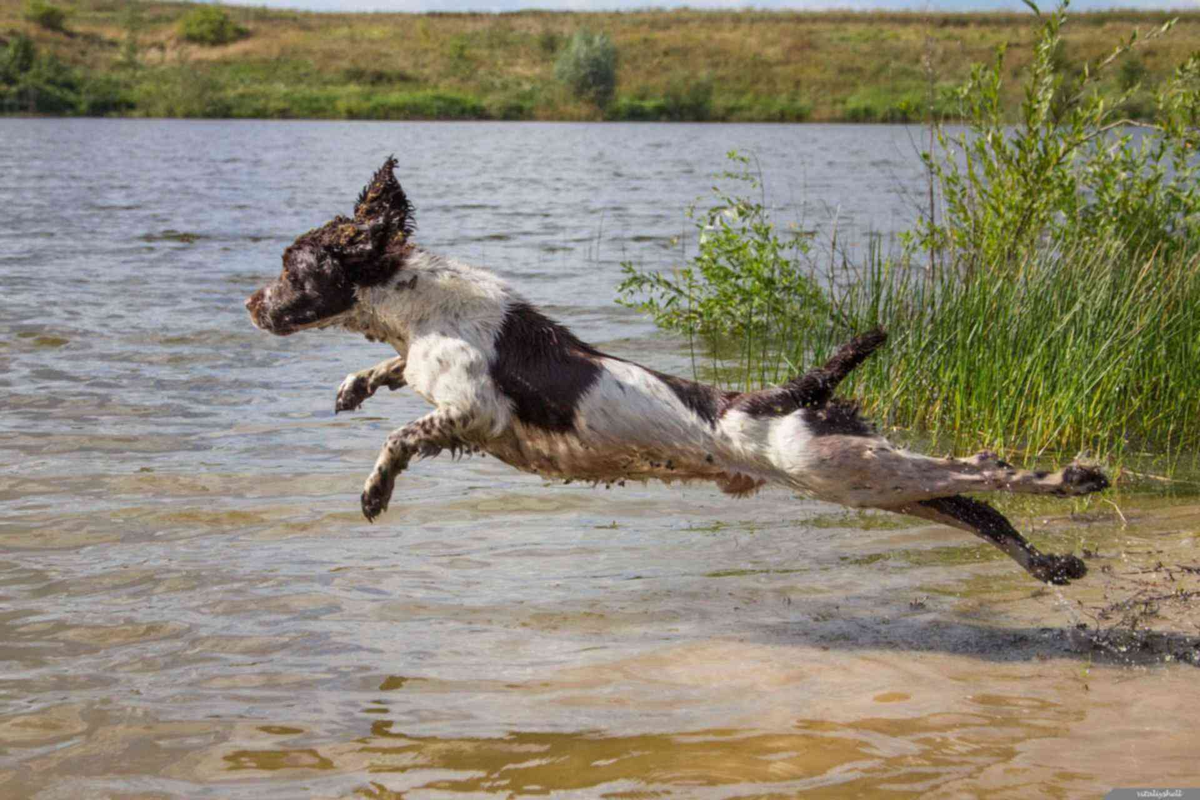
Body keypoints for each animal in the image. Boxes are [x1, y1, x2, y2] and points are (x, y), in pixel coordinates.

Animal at [246, 155, 1113, 585]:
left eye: (292, 263)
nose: (251, 302)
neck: (426, 306)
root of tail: (787, 395)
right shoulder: (426, 370)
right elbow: (391, 372)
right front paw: (352, 387)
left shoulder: (472, 412)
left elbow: (402, 435)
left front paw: (374, 491)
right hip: (870, 481)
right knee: (977, 508)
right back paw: (1055, 562)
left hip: (842, 466)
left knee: (984, 470)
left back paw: (1075, 477)